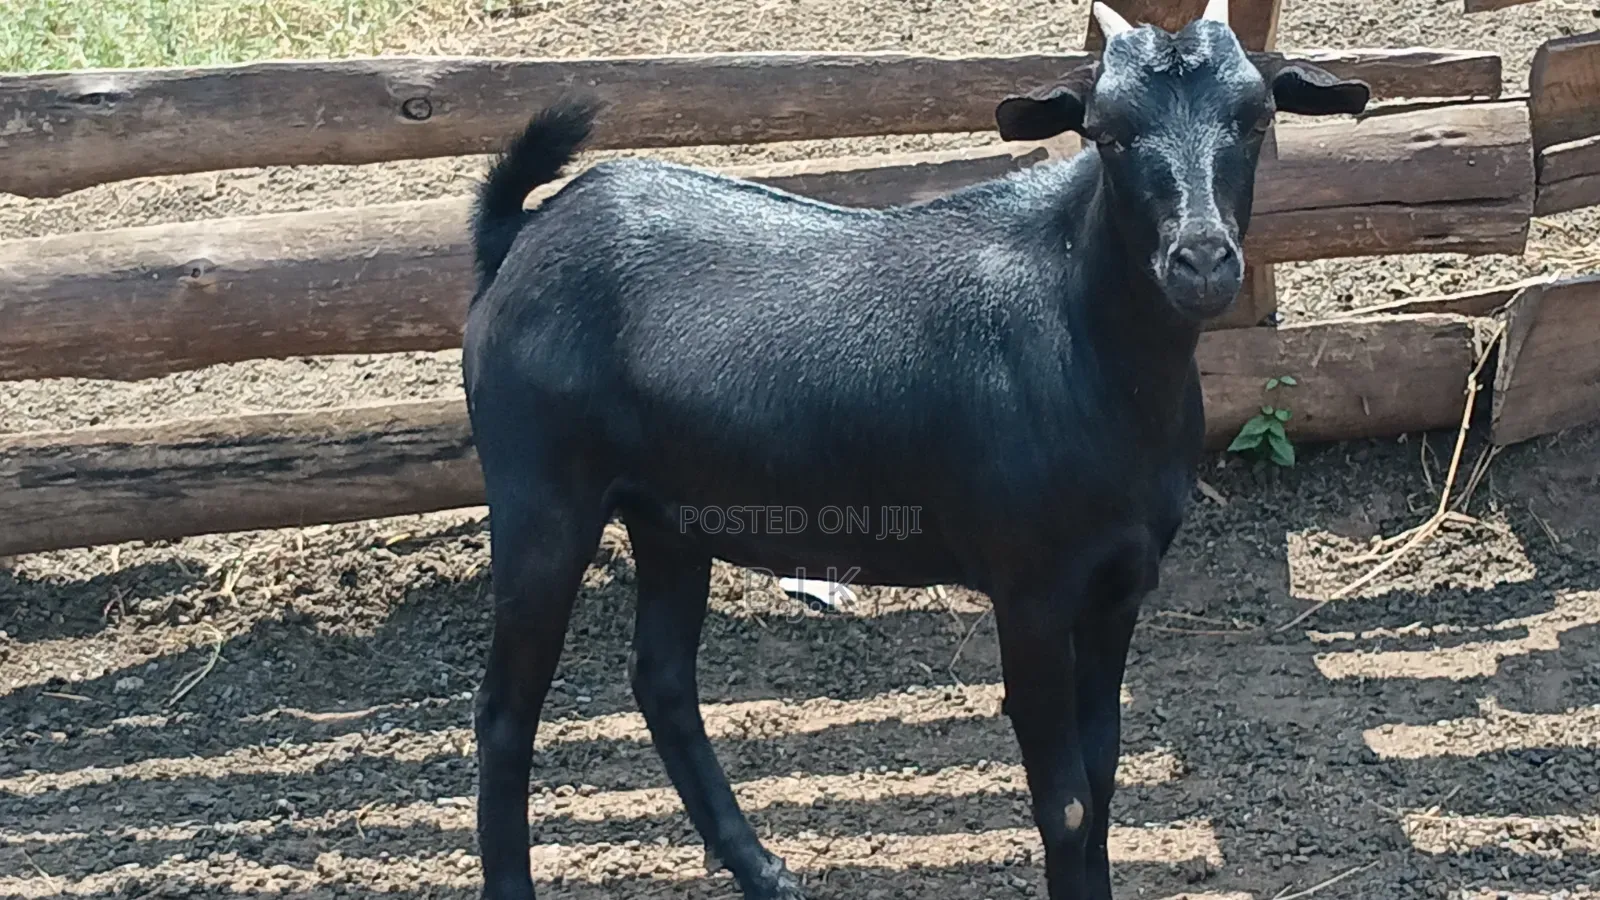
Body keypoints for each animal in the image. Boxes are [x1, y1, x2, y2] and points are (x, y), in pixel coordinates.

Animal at [462, 4, 1368, 898]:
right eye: (1108, 134)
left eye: (1256, 120)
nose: (1202, 261)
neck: (1088, 346)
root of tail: (521, 234)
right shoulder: (1031, 589)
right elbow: (1068, 802)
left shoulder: (1122, 583)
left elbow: (1104, 778)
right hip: (540, 496)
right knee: (505, 712)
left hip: (670, 515)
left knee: (662, 680)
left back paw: (763, 869)